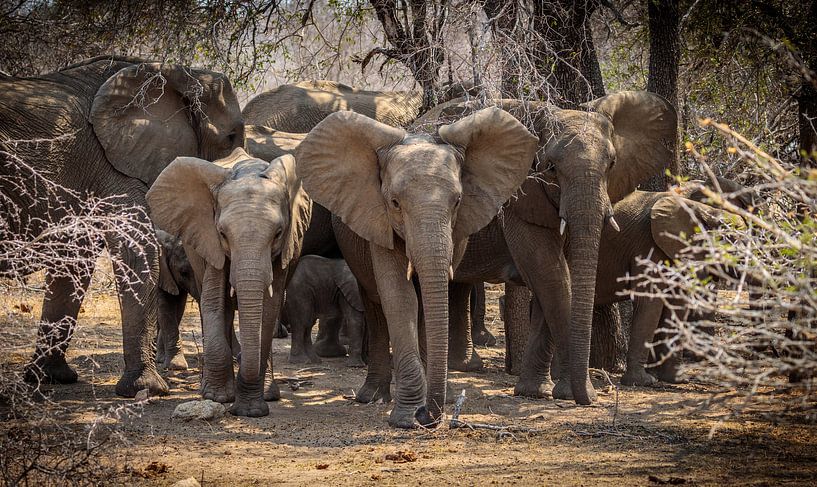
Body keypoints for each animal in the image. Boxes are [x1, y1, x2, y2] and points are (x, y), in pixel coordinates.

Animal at [0, 55, 242, 398]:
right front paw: (149, 389)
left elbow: (75, 259)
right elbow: (136, 250)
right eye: (231, 137)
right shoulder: (114, 165)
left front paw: (52, 378)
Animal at [147, 148, 312, 416]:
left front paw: (251, 410)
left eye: (278, 234)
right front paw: (217, 397)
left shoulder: (283, 252)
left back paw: (268, 393)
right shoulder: (209, 241)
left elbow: (269, 308)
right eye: (223, 234)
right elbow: (214, 300)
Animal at [296, 107, 540, 428]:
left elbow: (430, 298)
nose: (427, 415)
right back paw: (372, 397)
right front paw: (406, 417)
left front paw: (432, 404)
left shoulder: (459, 228)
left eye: (458, 201)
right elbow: (400, 299)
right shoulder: (377, 219)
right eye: (395, 203)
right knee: (375, 306)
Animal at [424, 93, 680, 406]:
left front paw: (536, 392)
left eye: (612, 164)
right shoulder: (519, 198)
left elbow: (558, 277)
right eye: (551, 168)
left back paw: (465, 367)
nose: (594, 398)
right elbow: (550, 274)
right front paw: (573, 393)